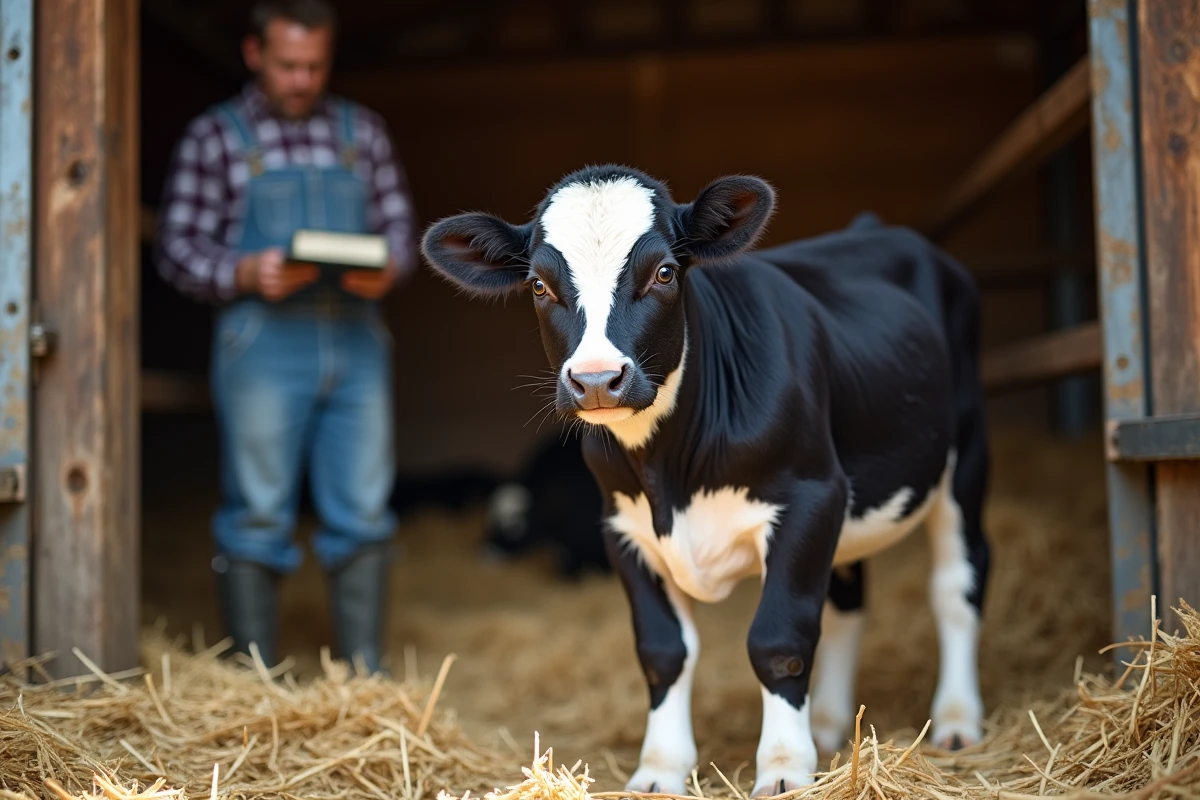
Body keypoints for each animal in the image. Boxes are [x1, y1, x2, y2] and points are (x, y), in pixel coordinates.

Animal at [420, 165, 990, 797]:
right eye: (539, 286)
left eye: (664, 272)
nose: (596, 380)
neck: (669, 474)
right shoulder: (623, 529)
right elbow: (662, 650)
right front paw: (659, 770)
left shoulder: (809, 498)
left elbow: (779, 639)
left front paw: (785, 769)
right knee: (848, 600)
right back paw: (829, 722)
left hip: (964, 454)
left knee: (957, 585)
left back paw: (956, 720)